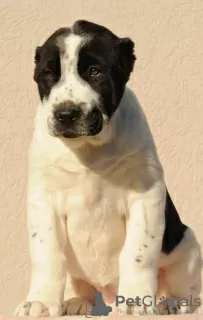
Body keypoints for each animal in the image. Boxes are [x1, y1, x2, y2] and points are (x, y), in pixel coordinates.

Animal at [13, 21, 201, 316]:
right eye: (49, 74)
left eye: (95, 71)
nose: (66, 114)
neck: (88, 150)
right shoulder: (43, 200)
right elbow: (47, 254)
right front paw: (40, 302)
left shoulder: (145, 195)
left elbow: (138, 252)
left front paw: (136, 301)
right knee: (80, 283)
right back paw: (77, 301)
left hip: (187, 245)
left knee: (186, 287)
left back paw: (173, 303)